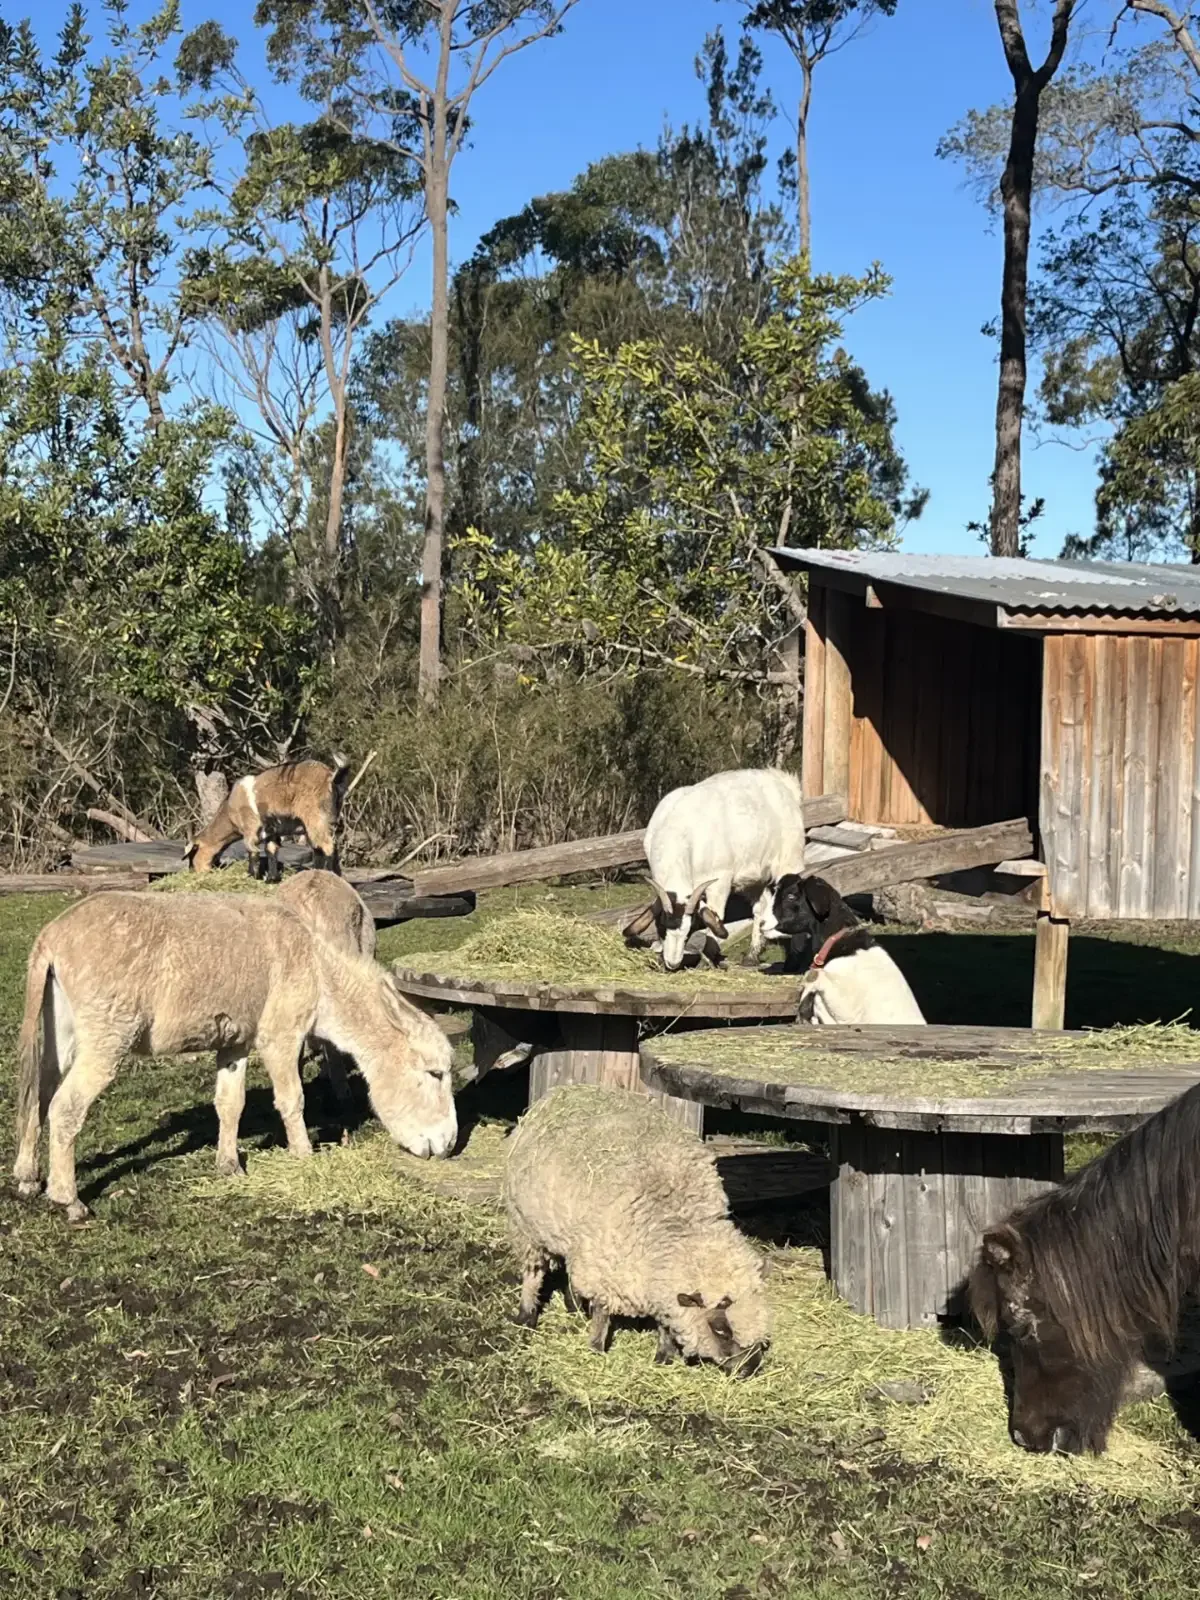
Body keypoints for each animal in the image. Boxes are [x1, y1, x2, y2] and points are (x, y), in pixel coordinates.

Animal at [12, 891, 456, 1221]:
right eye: (434, 1074)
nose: (449, 1144)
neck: (318, 972)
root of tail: (52, 935)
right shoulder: (280, 1035)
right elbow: (292, 1100)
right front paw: (304, 1156)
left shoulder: (237, 1040)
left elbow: (230, 1103)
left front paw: (229, 1165)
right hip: (107, 1034)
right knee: (66, 1107)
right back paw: (68, 1198)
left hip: (62, 1027)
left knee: (39, 1095)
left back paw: (27, 1177)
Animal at [185, 756, 352, 881]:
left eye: (193, 854)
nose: (193, 871)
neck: (230, 811)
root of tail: (331, 778)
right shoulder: (272, 832)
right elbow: (271, 850)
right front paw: (272, 878)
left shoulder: (250, 829)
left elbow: (252, 851)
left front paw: (251, 876)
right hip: (326, 822)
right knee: (323, 848)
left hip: (316, 819)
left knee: (328, 846)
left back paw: (328, 875)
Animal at [625, 769, 805, 970]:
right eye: (662, 926)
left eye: (689, 930)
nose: (673, 963)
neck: (680, 832)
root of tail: (784, 782)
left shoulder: (719, 882)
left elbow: (716, 915)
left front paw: (707, 959)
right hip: (756, 877)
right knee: (761, 907)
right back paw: (752, 956)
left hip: (789, 861)